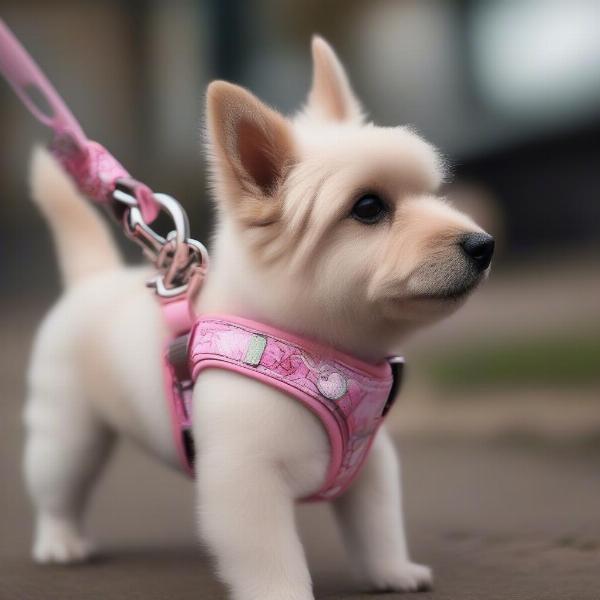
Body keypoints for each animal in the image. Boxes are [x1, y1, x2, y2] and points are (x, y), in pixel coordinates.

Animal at [23, 37, 492, 600]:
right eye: (369, 207)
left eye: (433, 193)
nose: (484, 245)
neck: (318, 350)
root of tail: (90, 278)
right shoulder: (245, 484)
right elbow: (271, 558)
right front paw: (283, 593)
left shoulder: (370, 462)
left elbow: (378, 525)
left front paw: (393, 572)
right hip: (67, 433)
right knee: (56, 490)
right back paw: (60, 542)